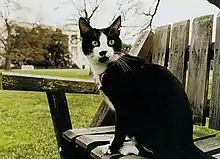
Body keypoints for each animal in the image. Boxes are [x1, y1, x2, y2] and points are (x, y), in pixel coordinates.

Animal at [77, 15, 215, 159]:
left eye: (111, 42)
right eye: (94, 43)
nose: (103, 52)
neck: (108, 67)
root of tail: (189, 144)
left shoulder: (124, 106)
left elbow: (120, 130)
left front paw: (112, 148)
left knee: (162, 153)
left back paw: (130, 148)